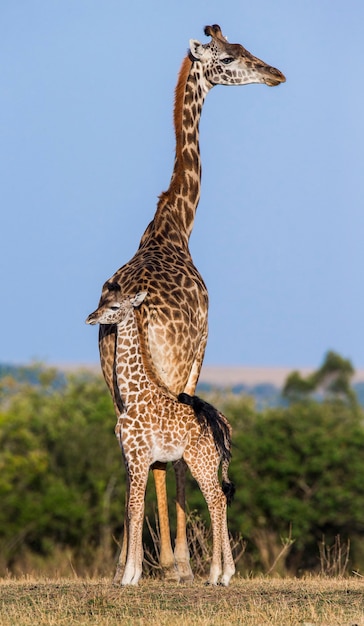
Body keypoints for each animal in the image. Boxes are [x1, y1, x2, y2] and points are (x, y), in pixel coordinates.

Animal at [87, 288, 236, 584]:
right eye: (101, 301)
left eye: (114, 306)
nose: (90, 317)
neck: (132, 394)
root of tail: (223, 428)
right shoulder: (131, 458)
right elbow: (136, 507)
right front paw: (132, 574)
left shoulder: (138, 456)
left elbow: (134, 508)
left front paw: (129, 576)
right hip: (211, 464)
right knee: (222, 499)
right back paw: (226, 574)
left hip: (200, 462)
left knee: (215, 499)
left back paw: (216, 574)